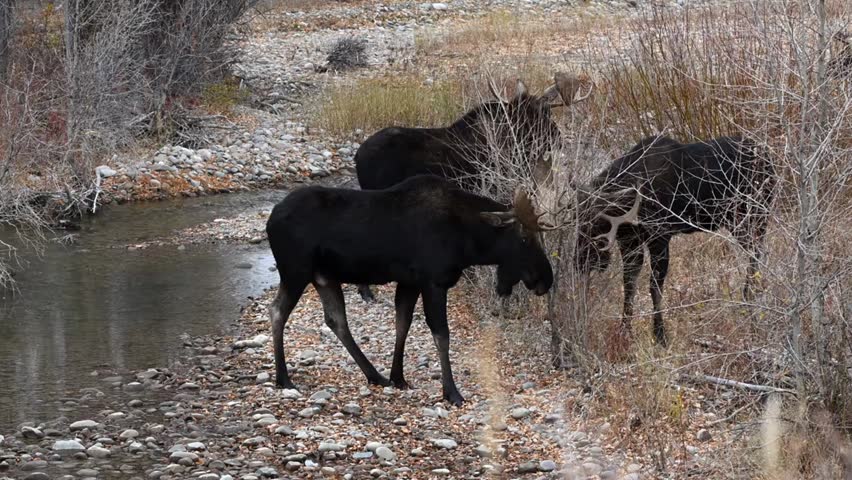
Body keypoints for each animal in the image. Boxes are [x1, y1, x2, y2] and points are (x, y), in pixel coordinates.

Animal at [265, 175, 554, 406]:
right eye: (524, 238)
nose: (546, 279)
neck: (468, 243)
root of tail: (271, 218)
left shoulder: (410, 282)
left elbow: (402, 324)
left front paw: (398, 377)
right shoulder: (434, 282)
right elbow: (441, 335)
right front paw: (451, 392)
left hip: (324, 276)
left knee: (336, 320)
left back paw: (375, 375)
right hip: (296, 271)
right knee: (277, 311)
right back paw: (283, 378)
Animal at [552, 135, 775, 359]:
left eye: (599, 224)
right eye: (577, 219)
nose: (580, 262)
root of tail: (770, 161)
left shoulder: (660, 238)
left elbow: (654, 288)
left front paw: (660, 336)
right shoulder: (630, 242)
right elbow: (629, 286)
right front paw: (625, 332)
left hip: (752, 217)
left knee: (757, 254)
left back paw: (750, 298)